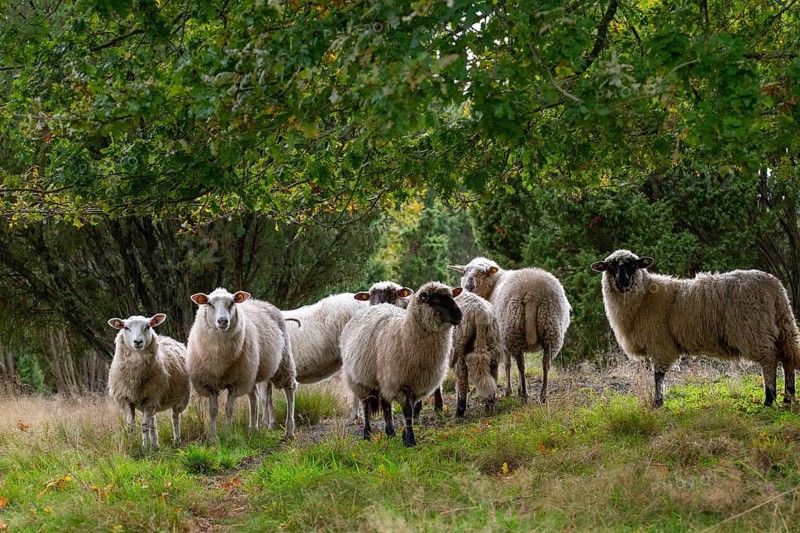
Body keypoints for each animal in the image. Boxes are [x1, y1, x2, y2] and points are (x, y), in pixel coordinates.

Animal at [107, 314, 190, 450]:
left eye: (148, 326)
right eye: (126, 327)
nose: (138, 342)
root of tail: (166, 338)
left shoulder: (152, 397)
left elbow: (144, 426)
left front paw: (144, 448)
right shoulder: (127, 399)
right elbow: (131, 426)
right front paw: (132, 445)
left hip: (181, 398)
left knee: (175, 418)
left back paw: (176, 441)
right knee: (153, 421)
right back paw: (155, 445)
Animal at [187, 288, 296, 441]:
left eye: (232, 303)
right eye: (209, 304)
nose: (222, 321)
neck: (220, 361)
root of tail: (263, 302)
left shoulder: (235, 382)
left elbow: (229, 409)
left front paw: (227, 433)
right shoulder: (210, 383)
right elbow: (213, 410)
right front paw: (213, 437)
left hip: (283, 360)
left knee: (289, 390)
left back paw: (289, 430)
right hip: (252, 371)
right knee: (255, 395)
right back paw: (255, 428)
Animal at [341, 282, 463, 447]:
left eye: (451, 296)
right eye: (436, 300)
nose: (459, 316)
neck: (404, 333)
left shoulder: (415, 384)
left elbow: (410, 411)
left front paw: (405, 435)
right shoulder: (400, 382)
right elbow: (407, 410)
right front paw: (410, 440)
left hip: (383, 380)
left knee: (386, 405)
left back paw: (390, 433)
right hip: (361, 380)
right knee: (366, 405)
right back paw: (367, 434)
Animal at [450, 257, 571, 403]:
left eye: (482, 273)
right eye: (465, 272)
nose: (468, 286)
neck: (493, 284)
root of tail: (533, 292)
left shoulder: (502, 341)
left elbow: (507, 364)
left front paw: (510, 391)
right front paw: (517, 389)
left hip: (512, 328)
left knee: (520, 364)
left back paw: (524, 395)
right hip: (550, 327)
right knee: (545, 364)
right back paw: (543, 396)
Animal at [590, 249, 800, 407]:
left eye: (632, 265)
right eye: (610, 267)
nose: (622, 281)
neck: (644, 298)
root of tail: (775, 287)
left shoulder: (659, 343)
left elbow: (658, 376)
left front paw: (657, 403)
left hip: (754, 330)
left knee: (770, 360)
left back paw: (769, 400)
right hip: (782, 326)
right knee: (787, 358)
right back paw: (788, 399)